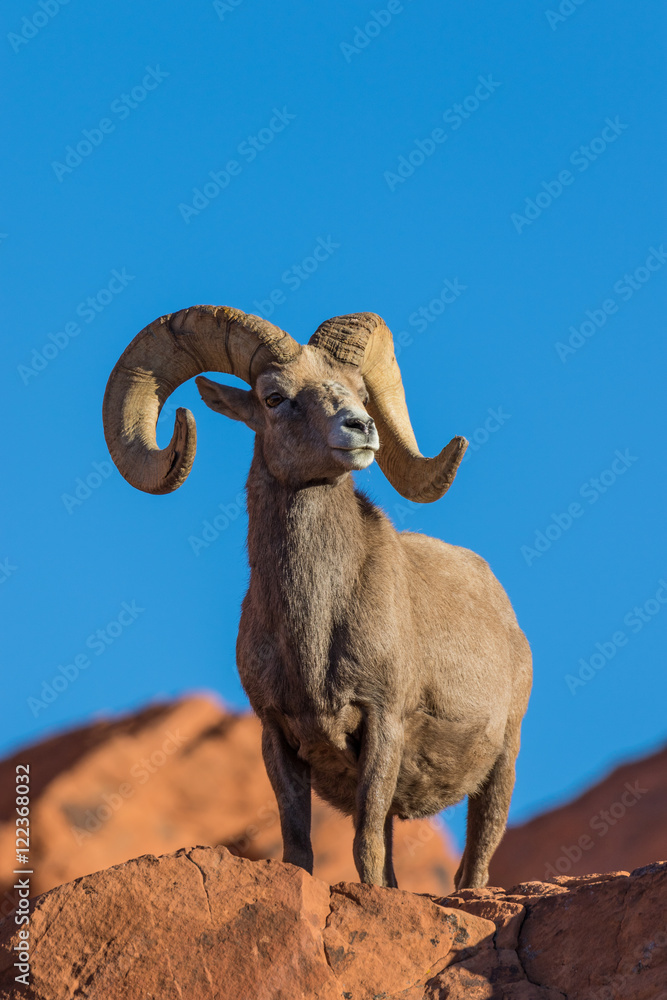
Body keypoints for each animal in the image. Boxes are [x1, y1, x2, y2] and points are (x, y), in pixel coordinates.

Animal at [104, 305, 532, 889]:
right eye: (273, 398)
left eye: (360, 392)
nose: (361, 429)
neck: (315, 630)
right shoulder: (278, 737)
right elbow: (300, 847)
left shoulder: (382, 726)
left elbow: (366, 847)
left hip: (500, 770)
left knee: (477, 863)